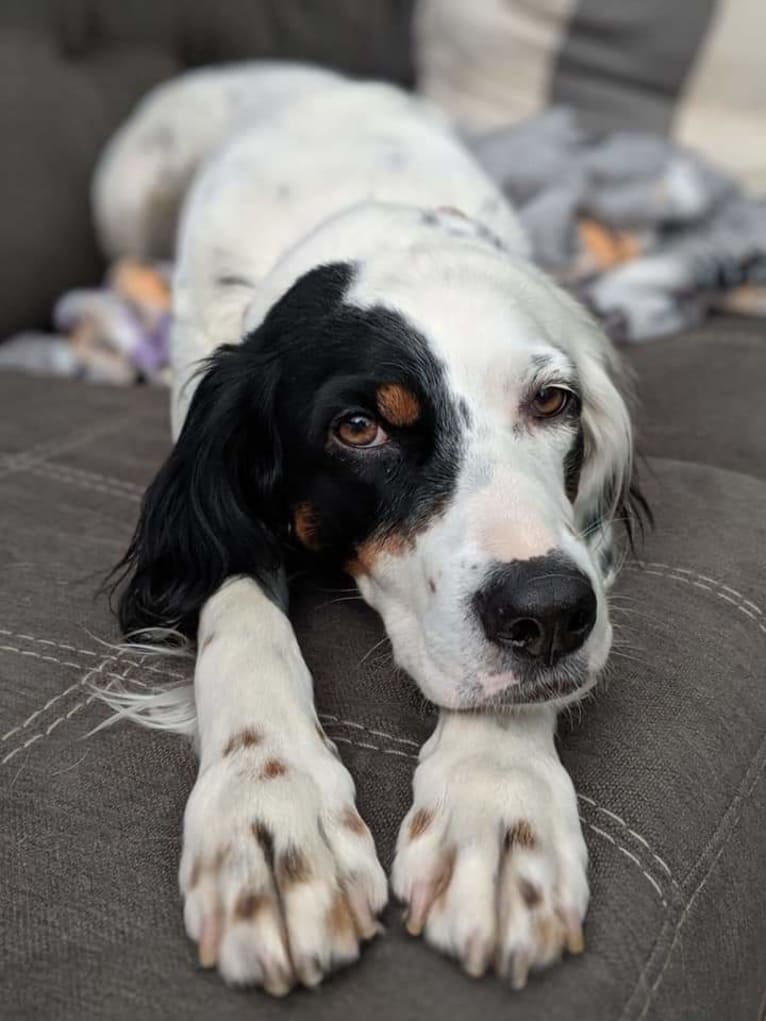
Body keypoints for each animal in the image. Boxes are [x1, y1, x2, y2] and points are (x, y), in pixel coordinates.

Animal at [96, 63, 649, 996]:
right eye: (360, 428)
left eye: (552, 400)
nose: (548, 615)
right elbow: (245, 628)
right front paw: (269, 819)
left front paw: (497, 808)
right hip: (128, 191)